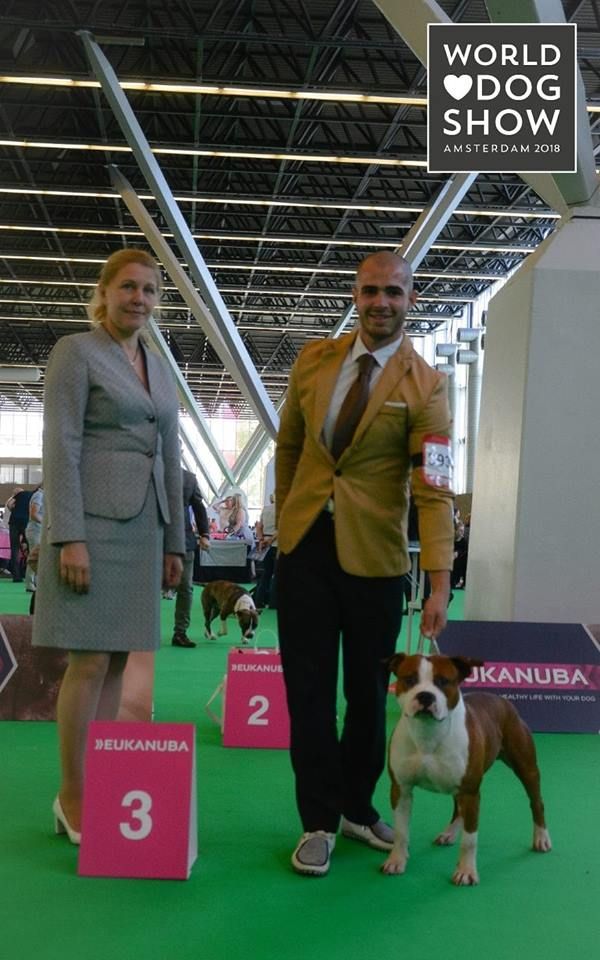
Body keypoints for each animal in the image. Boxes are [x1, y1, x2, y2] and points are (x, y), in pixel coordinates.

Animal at [382, 653, 551, 886]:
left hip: (526, 768)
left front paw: (466, 871)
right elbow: (401, 831)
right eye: (409, 679)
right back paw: (449, 833)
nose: (425, 696)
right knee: (457, 808)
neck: (428, 734)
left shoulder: (471, 793)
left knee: (536, 802)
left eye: (443, 681)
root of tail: (503, 700)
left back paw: (541, 838)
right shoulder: (401, 789)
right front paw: (397, 860)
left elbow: (470, 839)